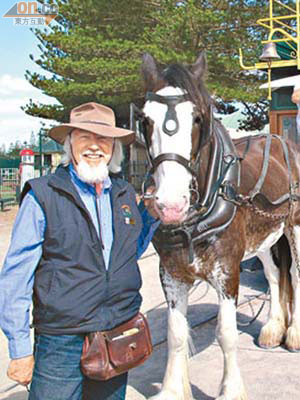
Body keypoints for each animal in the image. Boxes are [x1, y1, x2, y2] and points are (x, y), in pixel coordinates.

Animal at [134, 53, 300, 400]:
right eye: (146, 120)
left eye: (197, 118)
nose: (170, 205)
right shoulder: (170, 273)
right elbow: (175, 333)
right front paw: (171, 389)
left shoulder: (228, 271)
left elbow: (226, 333)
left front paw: (231, 389)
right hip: (262, 238)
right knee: (273, 274)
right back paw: (273, 328)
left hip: (294, 227)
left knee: (294, 273)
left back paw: (293, 335)